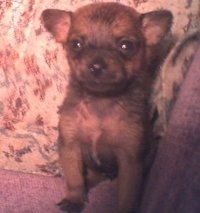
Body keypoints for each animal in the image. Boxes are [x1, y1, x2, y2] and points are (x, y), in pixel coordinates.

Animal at [41, 2, 172, 212]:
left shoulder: (129, 159)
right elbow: (74, 177)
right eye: (75, 44)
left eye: (126, 46)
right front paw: (74, 199)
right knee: (92, 175)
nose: (96, 66)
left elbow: (127, 195)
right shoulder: (70, 146)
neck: (100, 101)